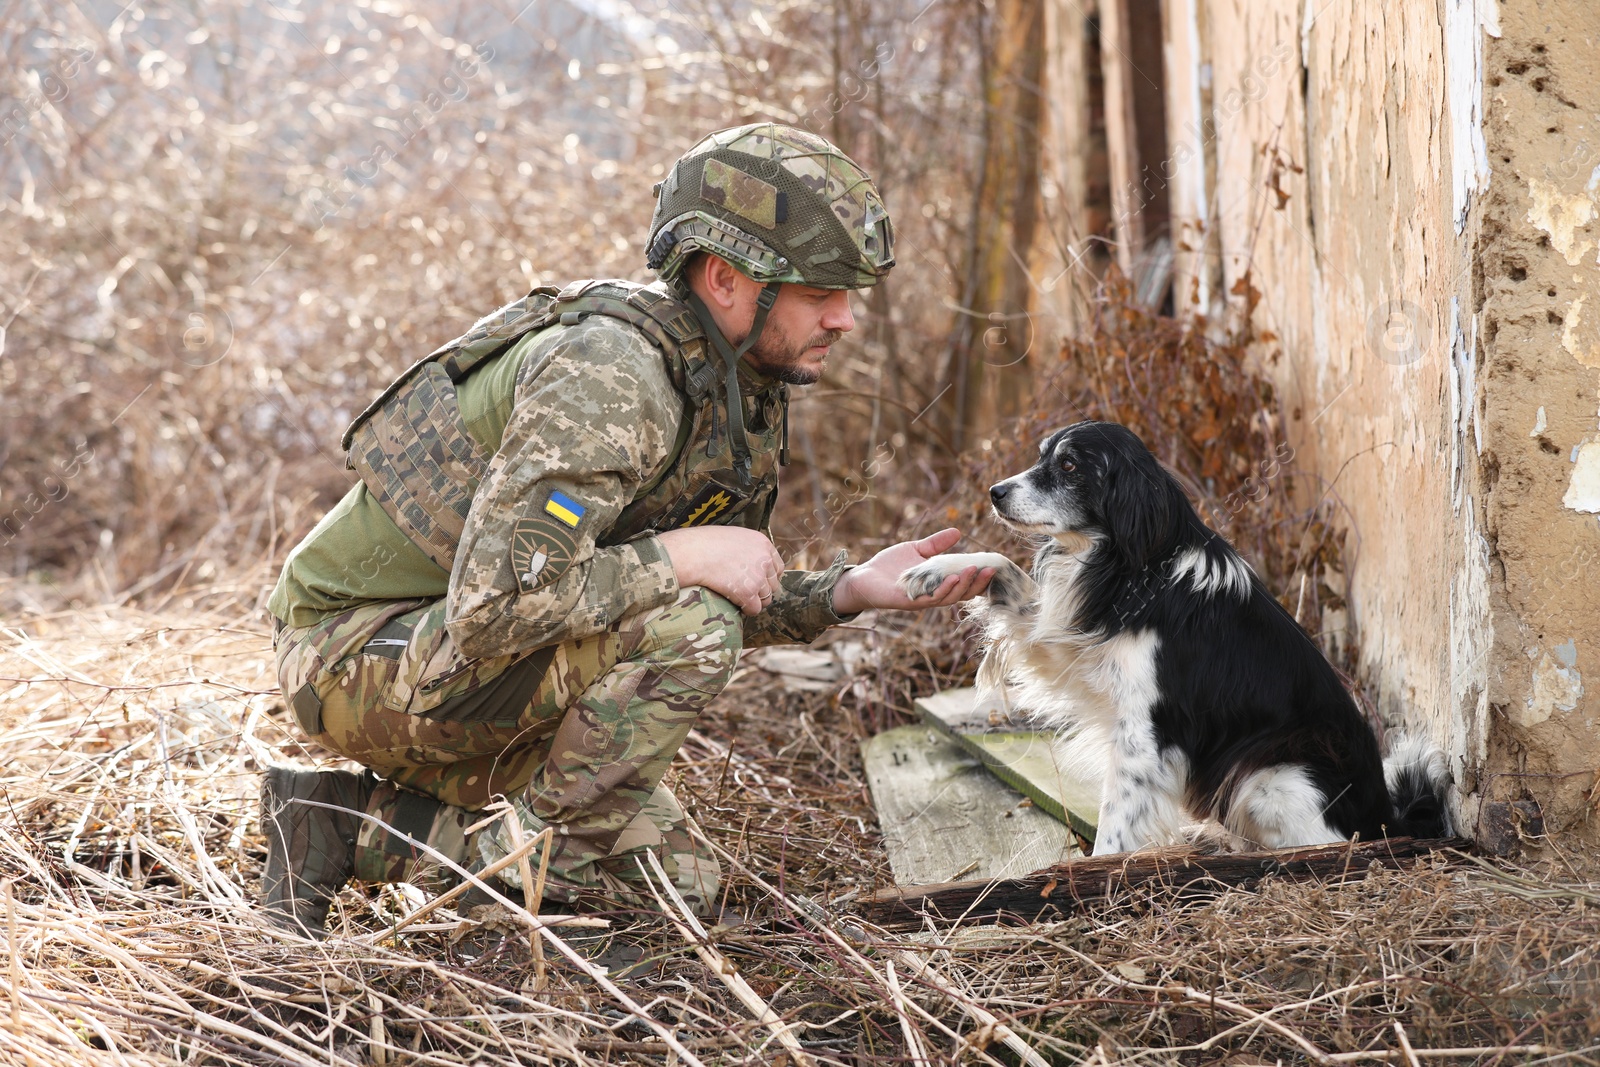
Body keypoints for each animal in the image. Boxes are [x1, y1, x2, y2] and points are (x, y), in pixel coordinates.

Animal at [902, 422, 1452, 857]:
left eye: (1070, 465)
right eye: (1041, 457)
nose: (995, 491)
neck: (1130, 566)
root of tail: (1389, 817)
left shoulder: (1147, 731)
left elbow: (1116, 821)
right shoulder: (1070, 645)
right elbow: (1004, 567)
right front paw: (938, 569)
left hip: (1275, 776)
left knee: (1324, 843)